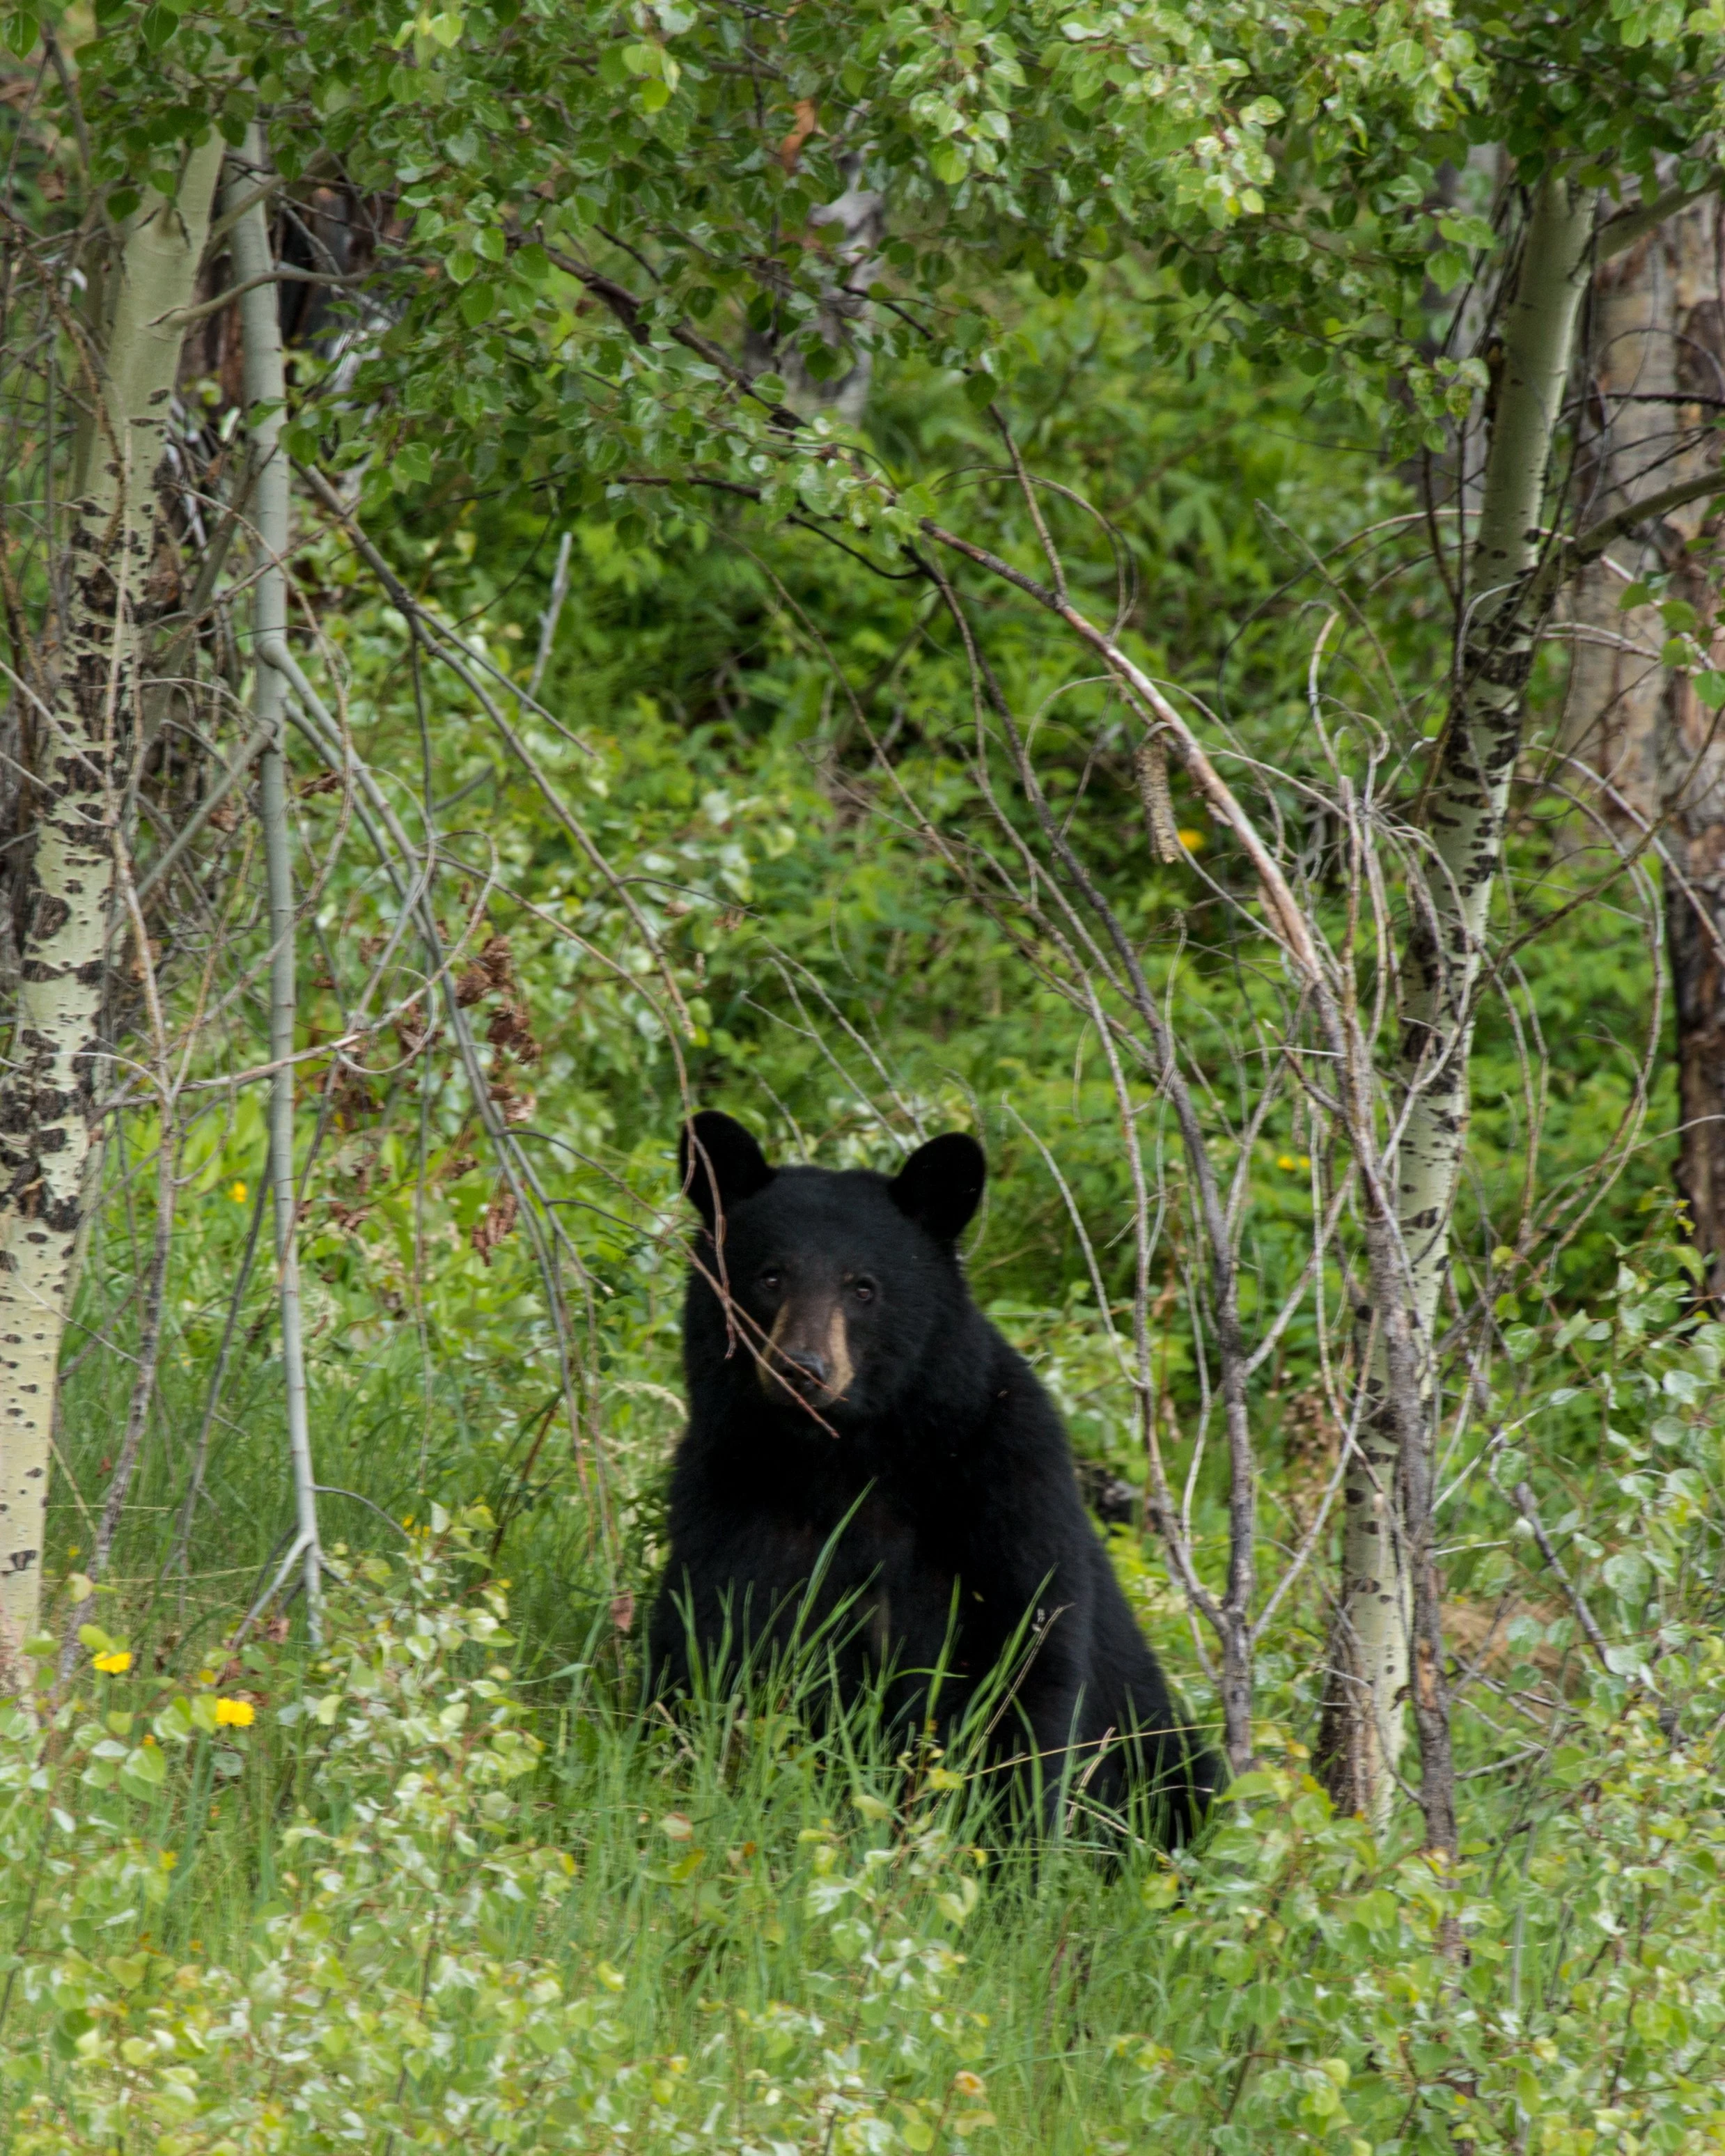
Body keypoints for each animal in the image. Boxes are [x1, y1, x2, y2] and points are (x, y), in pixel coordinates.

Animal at [647, 1110, 1221, 1842]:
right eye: (769, 1277)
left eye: (863, 1287)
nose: (802, 1369)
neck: (848, 1459)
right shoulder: (732, 1491)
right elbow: (712, 1634)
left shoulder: (1004, 1487)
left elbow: (1033, 1660)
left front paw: (1022, 1844)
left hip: (1168, 1744)